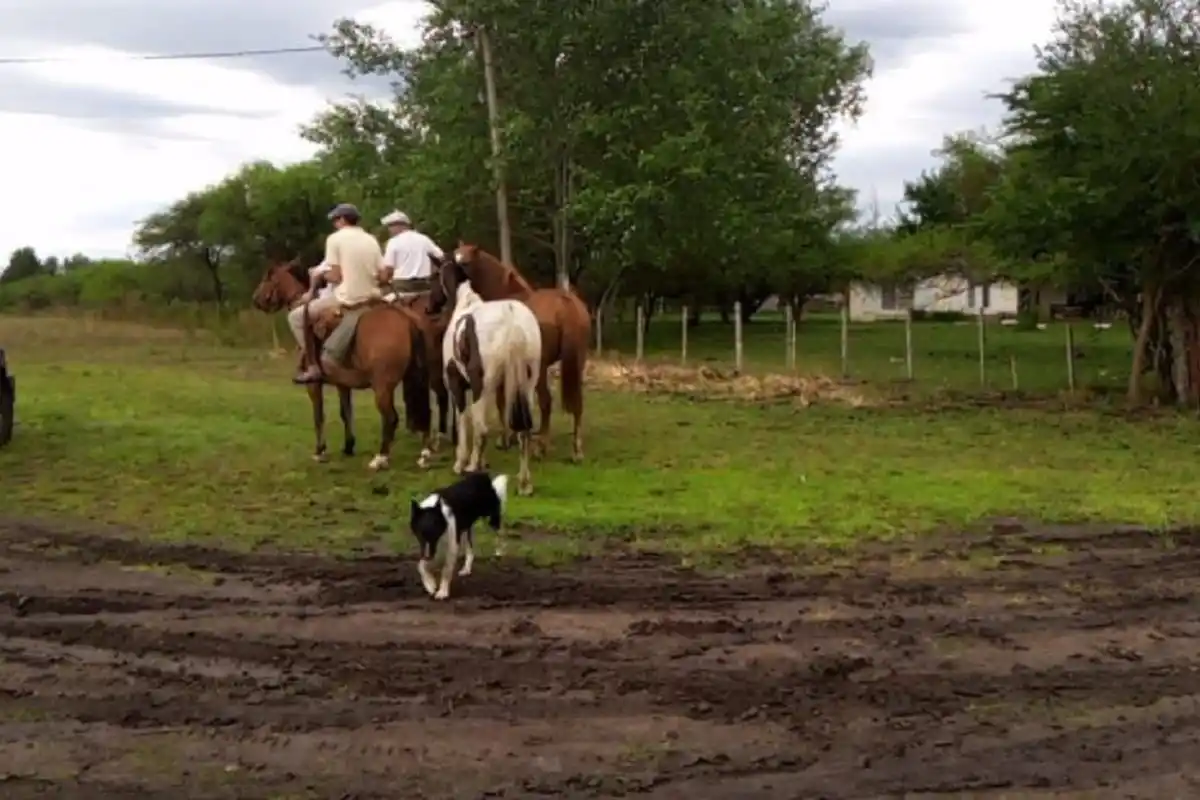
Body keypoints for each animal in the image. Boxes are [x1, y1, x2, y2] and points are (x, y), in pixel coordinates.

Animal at [250, 259, 447, 470]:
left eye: (268, 277)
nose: (256, 299)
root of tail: (407, 319)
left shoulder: (314, 385)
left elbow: (318, 415)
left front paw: (320, 451)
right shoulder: (342, 383)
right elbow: (346, 413)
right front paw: (348, 446)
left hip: (383, 386)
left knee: (391, 417)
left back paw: (381, 457)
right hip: (418, 377)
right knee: (425, 411)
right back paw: (425, 453)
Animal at [429, 255, 541, 496]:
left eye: (433, 275)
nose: (429, 307)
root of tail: (511, 318)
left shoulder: (457, 383)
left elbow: (464, 418)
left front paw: (461, 462)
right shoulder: (493, 389)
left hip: (482, 386)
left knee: (481, 428)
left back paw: (471, 467)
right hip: (526, 385)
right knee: (524, 430)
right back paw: (524, 483)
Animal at [450, 243, 589, 463]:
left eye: (465, 262)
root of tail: (565, 302)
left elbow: (502, 400)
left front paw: (506, 439)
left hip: (541, 367)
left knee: (546, 402)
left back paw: (541, 448)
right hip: (577, 364)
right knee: (577, 404)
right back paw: (576, 450)